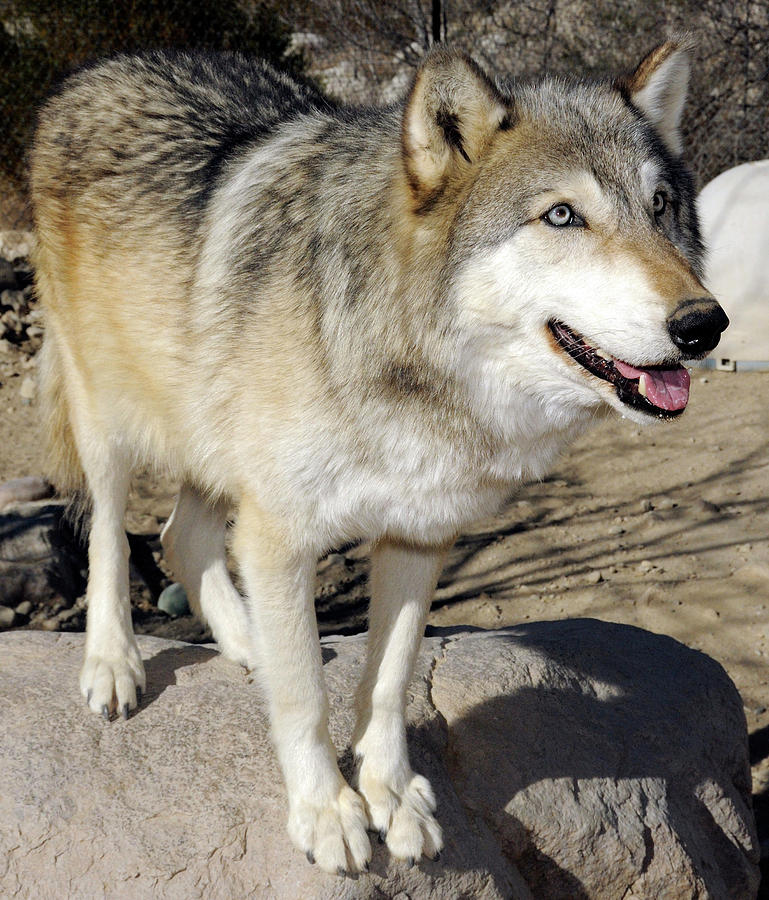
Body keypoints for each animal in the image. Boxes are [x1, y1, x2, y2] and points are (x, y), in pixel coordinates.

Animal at [30, 38, 727, 874]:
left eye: (659, 206)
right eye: (562, 215)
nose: (704, 323)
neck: (411, 368)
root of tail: (103, 69)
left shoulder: (418, 534)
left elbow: (389, 680)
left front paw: (389, 794)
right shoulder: (282, 535)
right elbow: (303, 695)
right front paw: (325, 809)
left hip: (215, 447)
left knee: (178, 539)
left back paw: (247, 643)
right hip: (110, 418)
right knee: (109, 535)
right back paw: (114, 664)